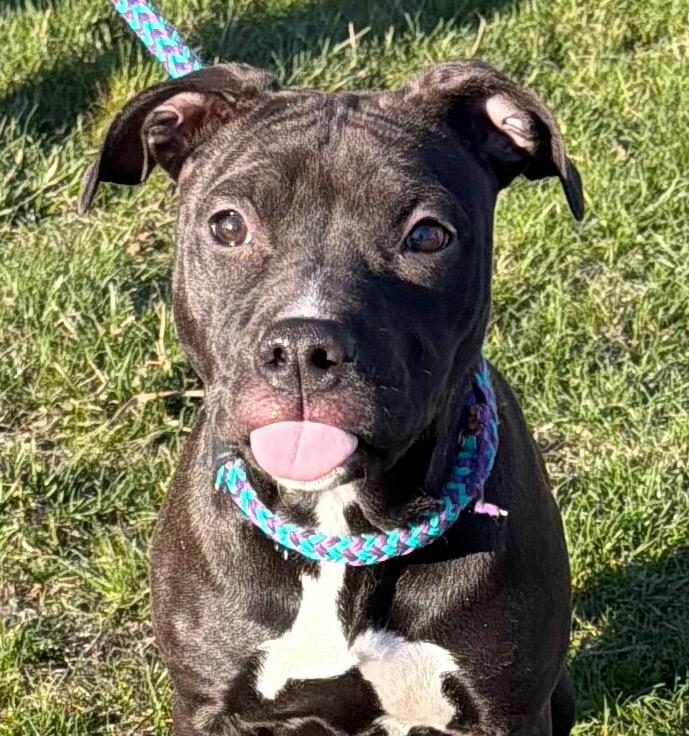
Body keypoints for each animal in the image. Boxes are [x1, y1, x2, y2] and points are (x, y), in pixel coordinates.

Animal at [79, 59, 583, 736]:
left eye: (428, 235)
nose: (301, 347)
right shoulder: (209, 705)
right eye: (228, 225)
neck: (341, 527)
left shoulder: (507, 711)